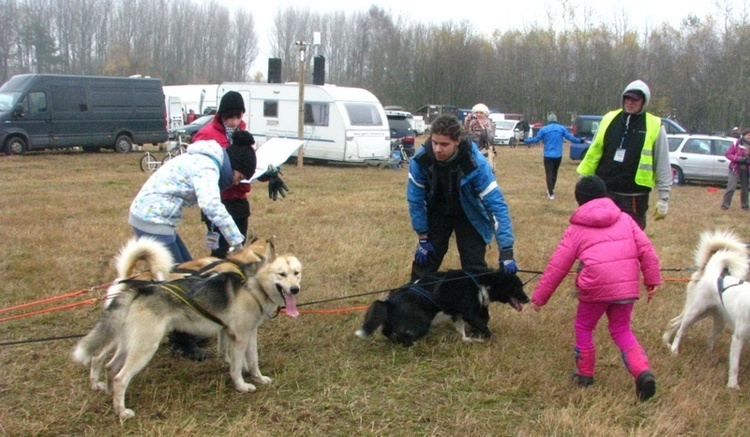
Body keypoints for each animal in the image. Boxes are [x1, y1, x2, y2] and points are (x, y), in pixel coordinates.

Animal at [356, 268, 528, 346]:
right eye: (517, 287)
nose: (528, 299)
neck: (481, 282)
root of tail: (390, 301)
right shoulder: (469, 314)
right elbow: (485, 328)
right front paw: (489, 338)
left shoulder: (457, 314)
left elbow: (462, 330)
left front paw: (468, 339)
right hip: (422, 323)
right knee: (400, 334)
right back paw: (410, 343)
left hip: (393, 322)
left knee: (386, 332)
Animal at [664, 230, 750, 386]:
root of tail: (712, 272)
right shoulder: (738, 338)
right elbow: (734, 366)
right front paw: (732, 386)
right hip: (694, 312)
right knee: (680, 330)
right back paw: (674, 350)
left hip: (715, 318)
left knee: (705, 334)